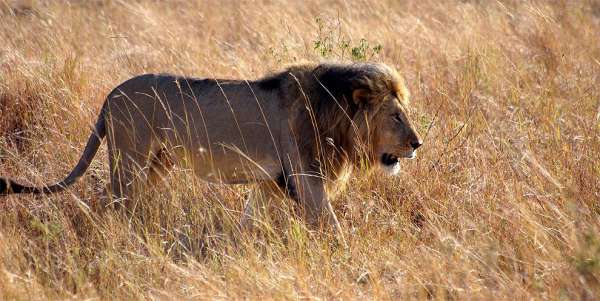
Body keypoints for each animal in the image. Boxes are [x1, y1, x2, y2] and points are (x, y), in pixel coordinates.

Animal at [0, 62, 422, 238]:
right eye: (396, 116)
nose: (418, 144)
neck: (333, 114)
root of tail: (108, 97)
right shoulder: (307, 176)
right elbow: (331, 224)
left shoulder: (271, 181)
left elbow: (249, 219)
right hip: (131, 160)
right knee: (111, 203)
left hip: (156, 164)